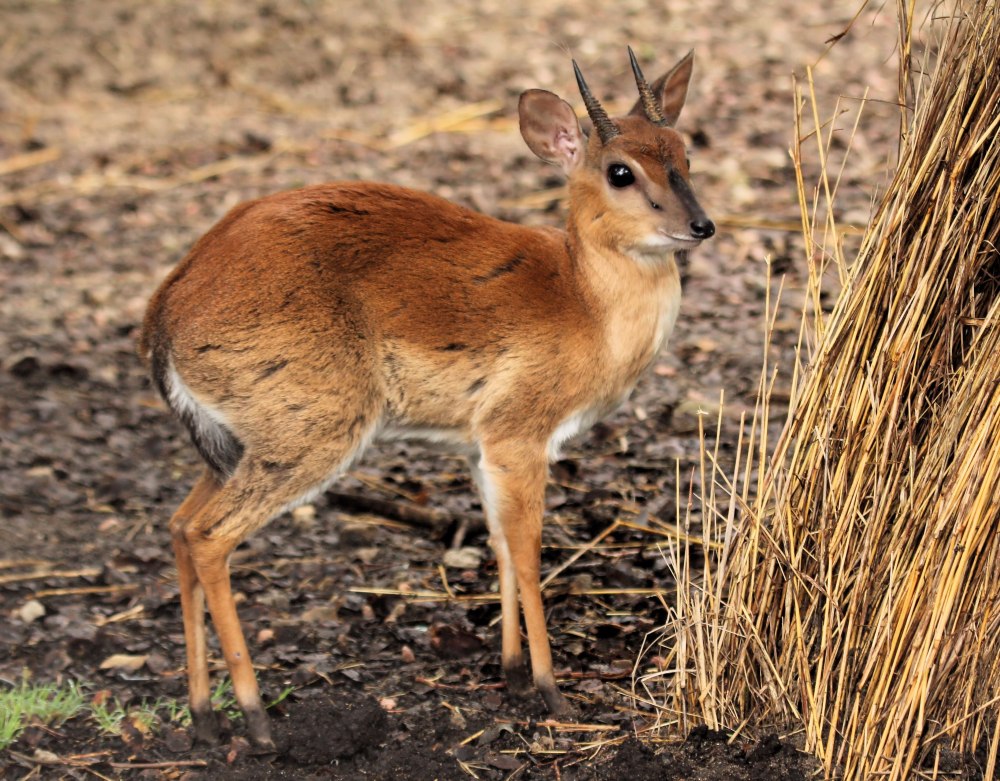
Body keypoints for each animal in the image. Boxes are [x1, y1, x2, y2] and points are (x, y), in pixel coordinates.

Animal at [145, 44, 716, 748]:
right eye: (620, 171)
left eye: (684, 152)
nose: (700, 225)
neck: (583, 299)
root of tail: (168, 306)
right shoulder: (519, 436)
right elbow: (529, 553)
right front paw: (553, 692)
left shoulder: (479, 447)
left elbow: (499, 546)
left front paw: (513, 677)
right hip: (310, 436)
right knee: (209, 536)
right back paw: (256, 722)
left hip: (238, 446)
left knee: (178, 525)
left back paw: (204, 718)